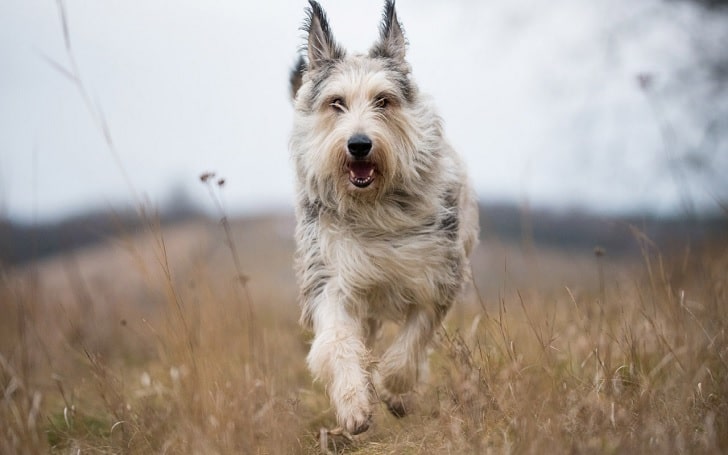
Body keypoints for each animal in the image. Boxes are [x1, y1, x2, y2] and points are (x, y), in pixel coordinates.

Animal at [288, 0, 480, 434]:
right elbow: (339, 341)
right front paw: (354, 404)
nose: (359, 144)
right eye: (336, 102)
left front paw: (393, 388)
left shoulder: (437, 273)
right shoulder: (330, 274)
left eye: (383, 101)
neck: (374, 207)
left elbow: (413, 340)